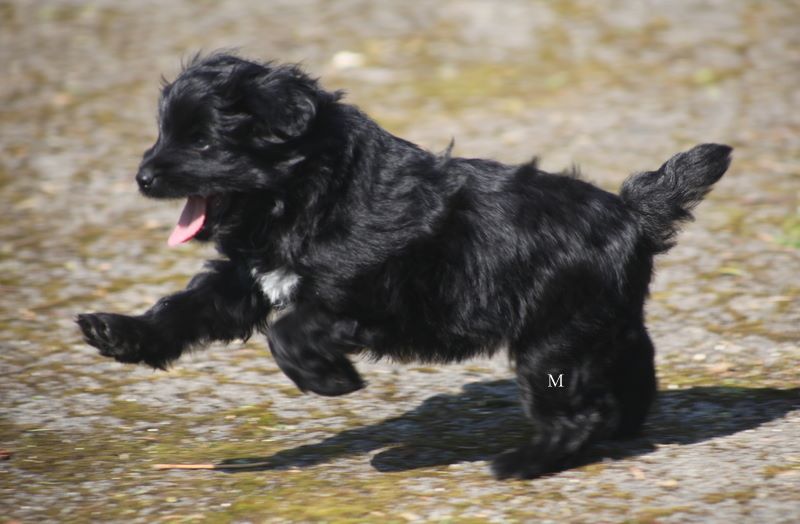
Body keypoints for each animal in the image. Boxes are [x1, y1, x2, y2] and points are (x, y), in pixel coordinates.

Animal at [77, 52, 732, 479]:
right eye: (164, 132)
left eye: (204, 142)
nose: (143, 177)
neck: (309, 194)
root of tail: (631, 210)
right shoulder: (247, 281)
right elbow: (186, 307)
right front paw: (118, 332)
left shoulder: (367, 289)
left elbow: (289, 328)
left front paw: (329, 379)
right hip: (600, 322)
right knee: (630, 368)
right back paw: (622, 427)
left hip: (554, 337)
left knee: (574, 408)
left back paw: (522, 462)